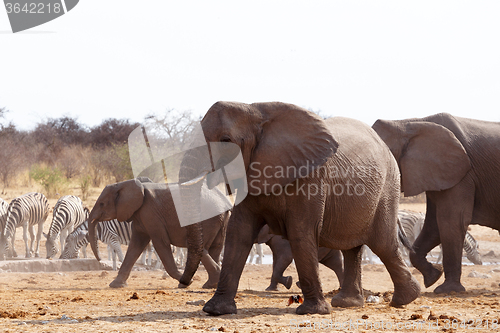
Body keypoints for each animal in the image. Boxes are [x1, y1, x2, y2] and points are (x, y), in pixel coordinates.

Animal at [178, 101, 420, 314]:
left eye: (226, 140)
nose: (183, 283)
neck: (256, 111)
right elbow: (239, 232)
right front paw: (215, 310)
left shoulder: (311, 177)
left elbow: (300, 232)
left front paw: (312, 311)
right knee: (353, 247)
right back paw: (348, 303)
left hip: (388, 187)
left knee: (382, 244)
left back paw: (404, 299)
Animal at [374, 113, 498, 292]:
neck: (407, 124)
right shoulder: (436, 174)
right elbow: (434, 225)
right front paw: (433, 277)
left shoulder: (461, 174)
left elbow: (451, 221)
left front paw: (447, 289)